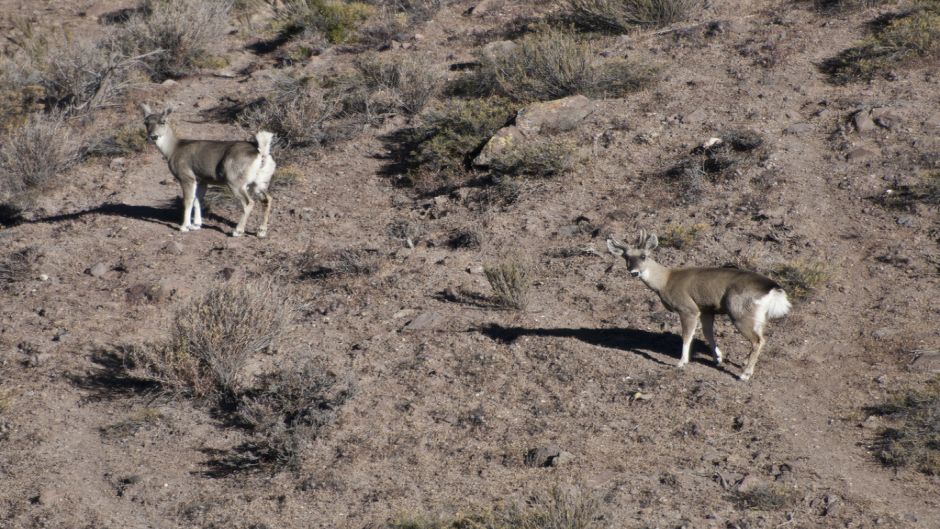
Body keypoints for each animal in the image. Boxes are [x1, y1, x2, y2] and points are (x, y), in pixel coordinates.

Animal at [140, 102, 276, 236]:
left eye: (162, 121)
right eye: (146, 122)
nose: (153, 136)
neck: (173, 150)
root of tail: (261, 153)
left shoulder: (186, 176)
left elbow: (188, 200)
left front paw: (184, 227)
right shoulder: (202, 180)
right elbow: (197, 200)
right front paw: (196, 225)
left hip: (235, 180)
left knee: (249, 202)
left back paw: (237, 231)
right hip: (260, 181)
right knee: (267, 199)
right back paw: (261, 231)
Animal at [604, 230, 788, 380]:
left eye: (643, 256)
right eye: (626, 257)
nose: (634, 272)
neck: (665, 281)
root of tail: (772, 288)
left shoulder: (688, 308)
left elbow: (687, 335)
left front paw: (681, 362)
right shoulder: (706, 309)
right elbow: (707, 333)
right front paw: (718, 357)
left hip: (739, 312)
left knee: (759, 340)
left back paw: (745, 374)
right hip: (756, 315)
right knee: (760, 336)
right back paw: (743, 363)